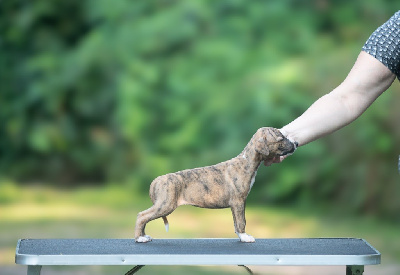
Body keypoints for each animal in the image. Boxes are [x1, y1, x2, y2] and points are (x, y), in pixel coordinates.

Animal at [136, 128, 296, 244]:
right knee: (142, 215)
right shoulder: (239, 201)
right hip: (165, 204)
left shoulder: (235, 204)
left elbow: (236, 222)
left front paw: (240, 236)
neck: (247, 161)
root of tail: (157, 180)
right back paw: (140, 238)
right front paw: (245, 237)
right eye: (281, 138)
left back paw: (144, 236)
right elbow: (241, 221)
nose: (295, 143)